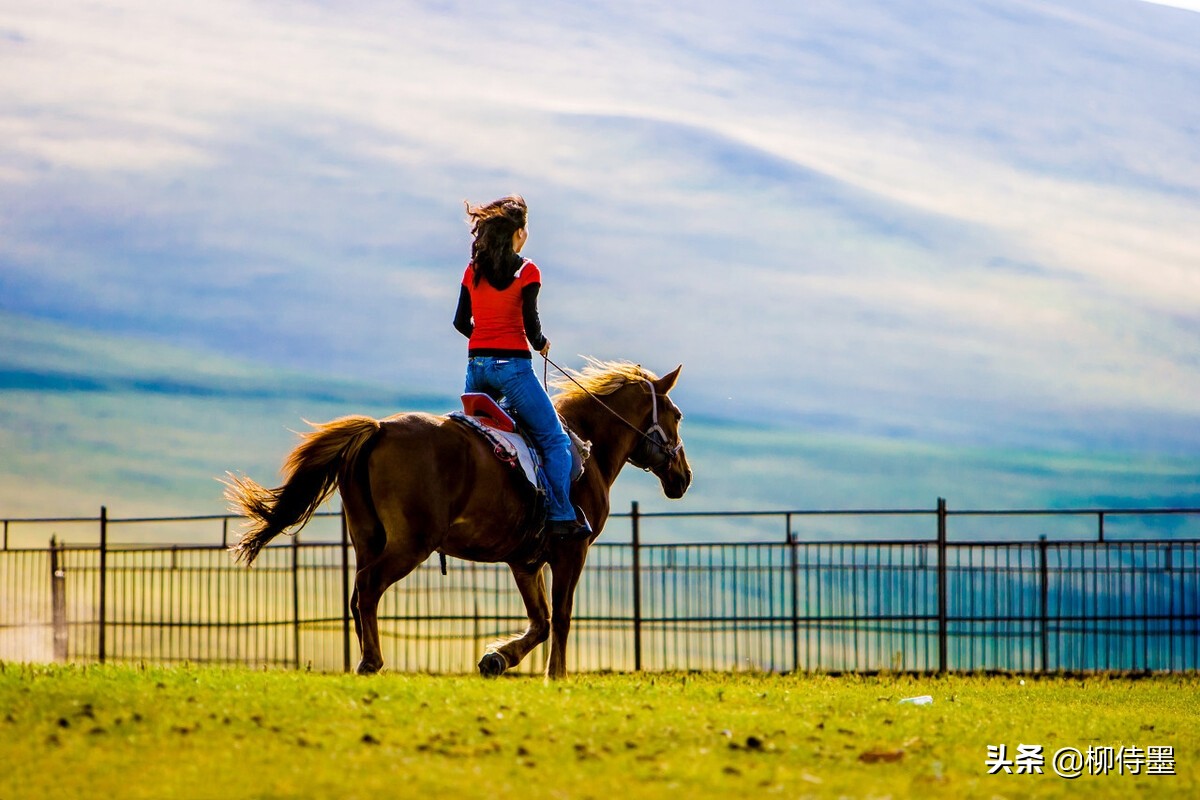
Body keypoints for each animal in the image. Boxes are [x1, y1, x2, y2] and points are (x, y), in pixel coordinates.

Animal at [225, 359, 696, 681]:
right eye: (677, 415)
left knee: (359, 595)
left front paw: (497, 659)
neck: (586, 446)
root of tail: (378, 429)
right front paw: (555, 675)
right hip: (409, 544)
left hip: (367, 538)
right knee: (368, 588)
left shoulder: (524, 562)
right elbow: (560, 616)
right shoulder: (570, 552)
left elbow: (541, 621)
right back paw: (371, 661)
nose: (684, 476)